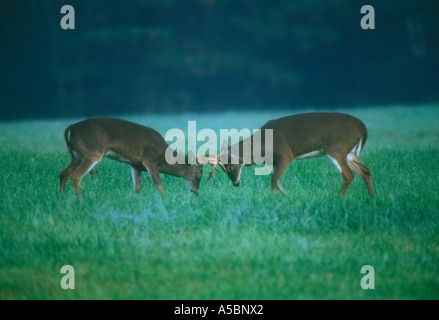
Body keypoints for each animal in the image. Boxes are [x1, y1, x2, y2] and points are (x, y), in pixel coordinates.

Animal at [58, 117, 205, 199]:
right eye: (199, 175)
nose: (196, 192)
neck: (163, 155)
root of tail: (69, 129)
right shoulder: (149, 160)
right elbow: (159, 185)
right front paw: (163, 200)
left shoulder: (135, 164)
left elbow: (137, 187)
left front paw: (136, 201)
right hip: (92, 152)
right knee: (76, 176)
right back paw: (80, 200)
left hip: (76, 156)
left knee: (63, 173)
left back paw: (62, 197)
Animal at [205, 112, 376, 198]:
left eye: (229, 167)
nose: (236, 183)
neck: (261, 145)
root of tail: (363, 128)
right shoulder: (274, 161)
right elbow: (272, 180)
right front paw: (274, 198)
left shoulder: (285, 154)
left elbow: (274, 179)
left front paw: (286, 197)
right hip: (350, 152)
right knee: (366, 171)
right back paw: (372, 198)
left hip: (336, 148)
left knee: (348, 174)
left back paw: (338, 198)